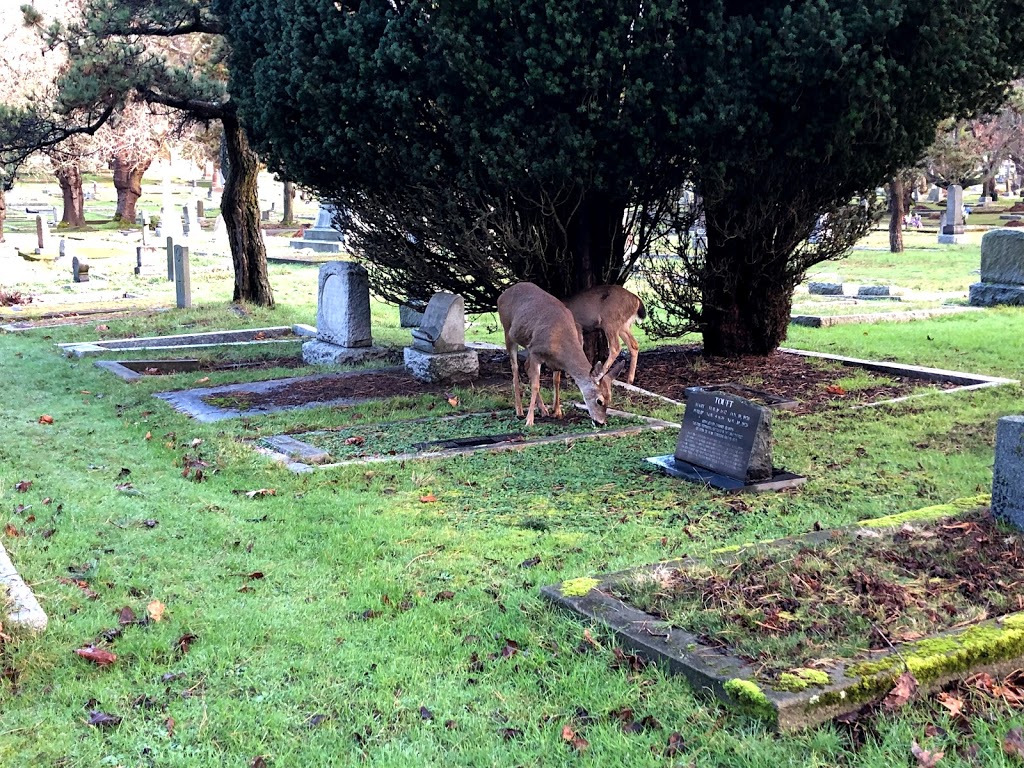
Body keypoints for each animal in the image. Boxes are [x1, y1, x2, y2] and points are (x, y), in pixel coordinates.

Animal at [491, 282, 618, 428]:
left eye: (610, 399)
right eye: (599, 401)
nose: (600, 423)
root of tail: (502, 295)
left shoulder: (554, 361)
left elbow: (556, 381)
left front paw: (557, 411)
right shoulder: (536, 351)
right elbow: (536, 385)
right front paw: (529, 420)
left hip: (528, 343)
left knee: (526, 366)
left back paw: (543, 409)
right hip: (508, 331)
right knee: (515, 368)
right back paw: (520, 411)